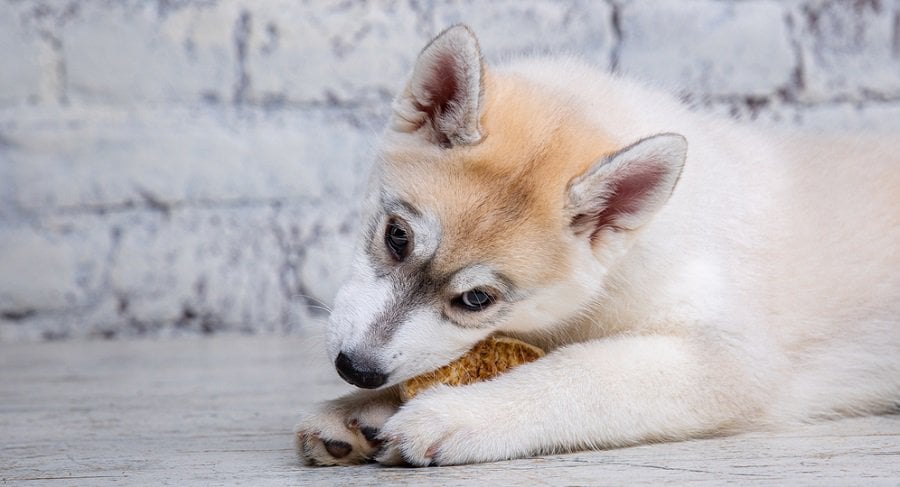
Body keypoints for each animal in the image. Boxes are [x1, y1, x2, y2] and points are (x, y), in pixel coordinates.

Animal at [298, 24, 900, 468]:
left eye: (477, 300)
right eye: (397, 237)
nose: (356, 369)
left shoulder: (730, 357)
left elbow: (579, 373)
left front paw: (461, 415)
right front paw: (360, 410)